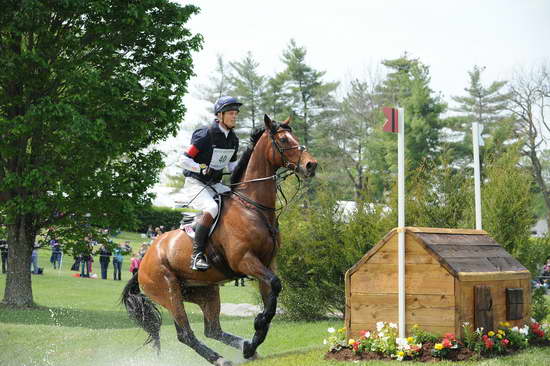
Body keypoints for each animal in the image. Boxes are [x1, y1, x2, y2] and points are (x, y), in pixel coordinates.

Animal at [121, 113, 320, 364]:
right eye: (283, 140)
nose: (311, 165)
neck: (252, 208)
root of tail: (143, 262)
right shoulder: (245, 260)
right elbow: (274, 287)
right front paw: (257, 326)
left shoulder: (267, 263)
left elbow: (272, 299)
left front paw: (253, 342)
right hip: (169, 292)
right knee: (186, 334)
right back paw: (219, 358)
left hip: (204, 292)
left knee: (212, 329)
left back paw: (244, 347)